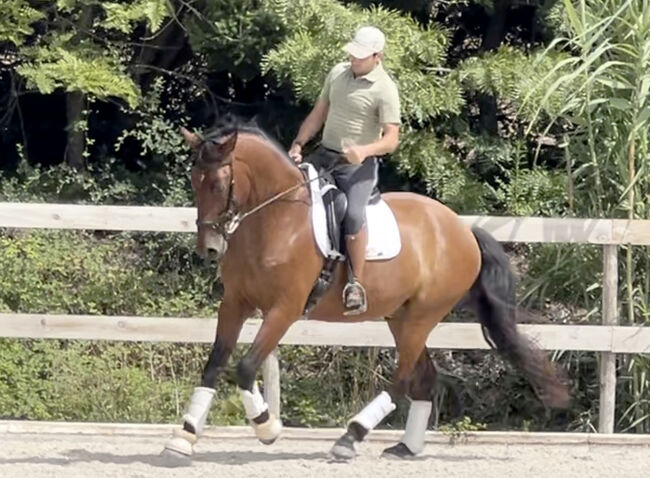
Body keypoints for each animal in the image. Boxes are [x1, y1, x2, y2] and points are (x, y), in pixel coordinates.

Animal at [161, 119, 568, 464]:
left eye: (217, 184)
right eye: (194, 181)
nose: (209, 248)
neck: (275, 219)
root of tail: (463, 229)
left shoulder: (284, 309)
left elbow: (245, 368)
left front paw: (268, 428)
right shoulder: (235, 303)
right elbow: (215, 363)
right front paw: (184, 437)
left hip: (422, 316)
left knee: (403, 379)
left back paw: (350, 438)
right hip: (401, 317)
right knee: (424, 379)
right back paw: (406, 448)